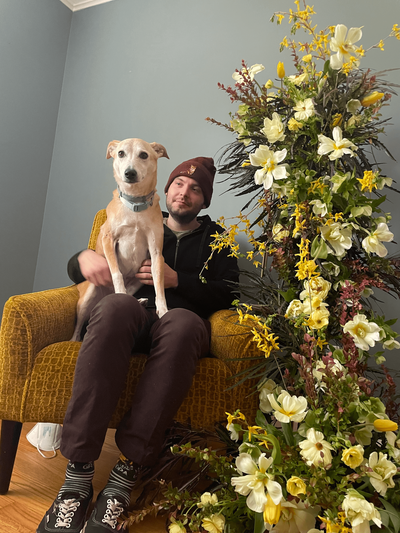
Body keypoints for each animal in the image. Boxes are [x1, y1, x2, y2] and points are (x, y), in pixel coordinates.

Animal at [72, 137, 169, 340]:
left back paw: (138, 301)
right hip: (88, 296)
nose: (129, 173)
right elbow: (116, 273)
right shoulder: (109, 239)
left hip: (139, 279)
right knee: (78, 327)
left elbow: (159, 285)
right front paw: (120, 293)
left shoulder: (156, 254)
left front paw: (163, 310)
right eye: (121, 153)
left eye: (144, 155)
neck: (135, 205)